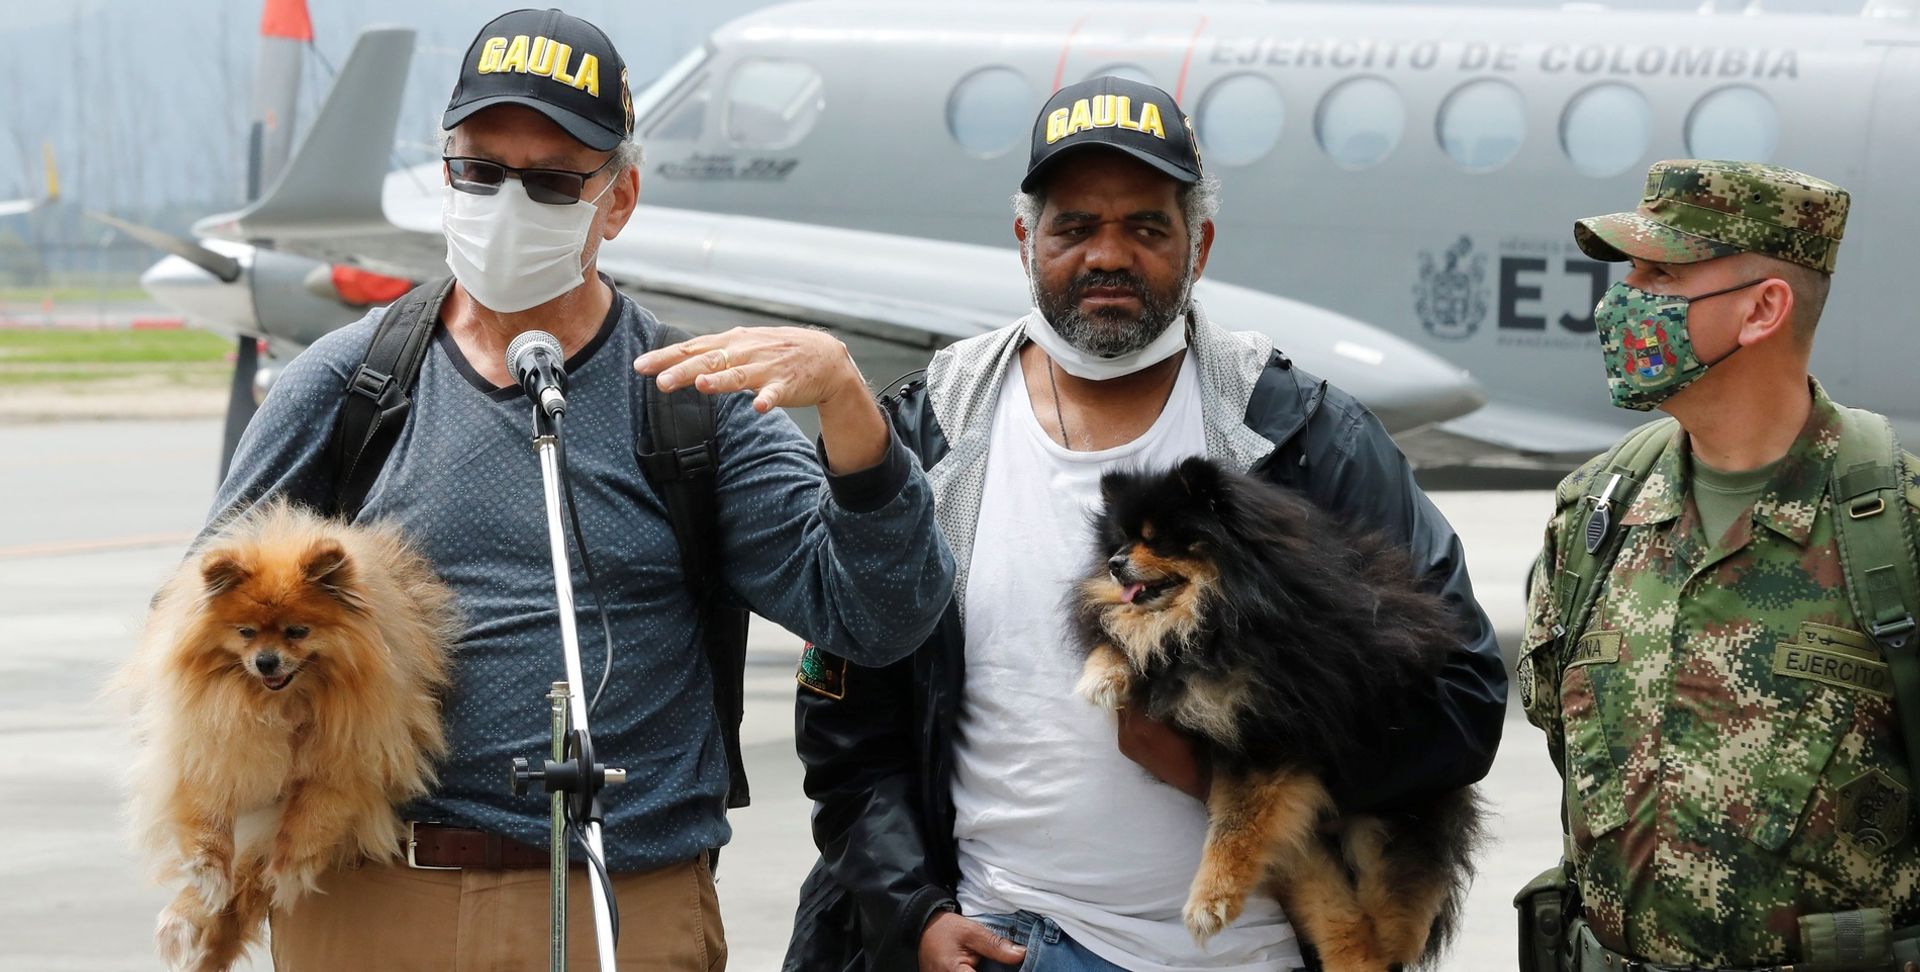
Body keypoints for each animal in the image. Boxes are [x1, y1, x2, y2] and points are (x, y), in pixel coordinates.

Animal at [117, 499, 460, 972]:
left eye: (297, 631)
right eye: (245, 632)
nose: (266, 661)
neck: (283, 701)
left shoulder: (352, 756)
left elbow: (313, 815)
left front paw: (288, 867)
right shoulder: (211, 741)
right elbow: (207, 814)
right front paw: (208, 873)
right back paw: (183, 917)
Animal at [1082, 457, 1482, 972]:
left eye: (1159, 539)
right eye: (1121, 541)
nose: (1114, 565)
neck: (1219, 609)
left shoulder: (1270, 735)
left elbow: (1232, 826)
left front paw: (1207, 903)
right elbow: (1125, 633)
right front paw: (1102, 672)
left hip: (1395, 815)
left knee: (1397, 914)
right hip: (1308, 842)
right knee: (1335, 907)